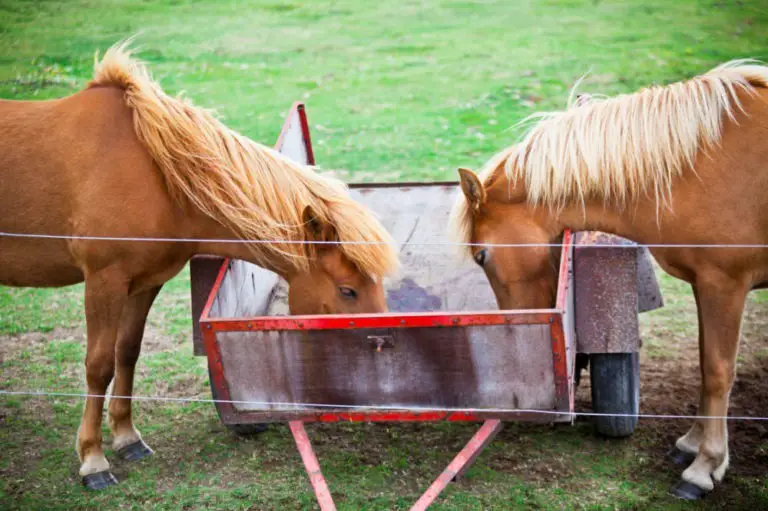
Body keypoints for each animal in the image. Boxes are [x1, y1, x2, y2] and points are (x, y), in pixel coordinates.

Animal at [0, 44, 396, 492]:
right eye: (348, 290)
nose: (383, 342)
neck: (157, 174)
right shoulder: (103, 280)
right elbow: (99, 366)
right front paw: (93, 460)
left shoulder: (144, 284)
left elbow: (127, 352)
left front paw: (127, 438)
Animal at [450, 61, 768, 500]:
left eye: (482, 255)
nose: (516, 332)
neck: (695, 168)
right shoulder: (705, 286)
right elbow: (706, 366)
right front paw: (691, 445)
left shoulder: (725, 285)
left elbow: (718, 371)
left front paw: (704, 467)